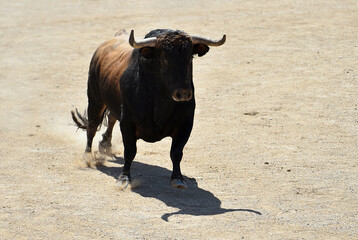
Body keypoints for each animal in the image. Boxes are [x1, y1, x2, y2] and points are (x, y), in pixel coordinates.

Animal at [71, 28, 225, 189]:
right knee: (92, 127)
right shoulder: (127, 123)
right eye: (164, 58)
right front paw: (124, 179)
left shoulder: (185, 124)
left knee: (111, 118)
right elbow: (129, 151)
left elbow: (176, 152)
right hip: (95, 98)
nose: (183, 93)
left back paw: (105, 144)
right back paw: (87, 158)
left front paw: (178, 178)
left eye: (190, 57)